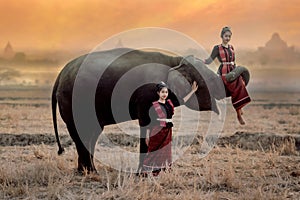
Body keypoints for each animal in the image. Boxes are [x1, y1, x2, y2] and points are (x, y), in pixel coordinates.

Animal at [52, 47, 225, 173]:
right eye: (210, 79)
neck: (174, 61)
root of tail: (60, 74)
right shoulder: (146, 95)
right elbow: (146, 125)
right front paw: (144, 173)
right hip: (73, 101)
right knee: (81, 132)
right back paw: (87, 172)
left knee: (91, 133)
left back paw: (89, 171)